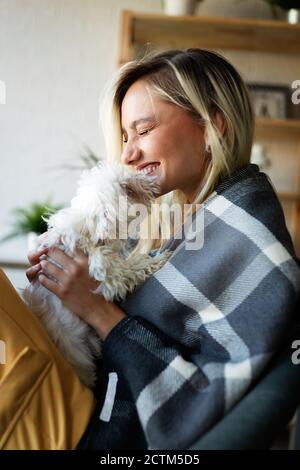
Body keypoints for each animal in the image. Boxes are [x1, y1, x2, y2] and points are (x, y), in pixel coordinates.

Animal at [22, 162, 170, 386]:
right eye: (127, 188)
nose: (148, 181)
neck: (88, 230)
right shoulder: (110, 277)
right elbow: (131, 268)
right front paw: (156, 260)